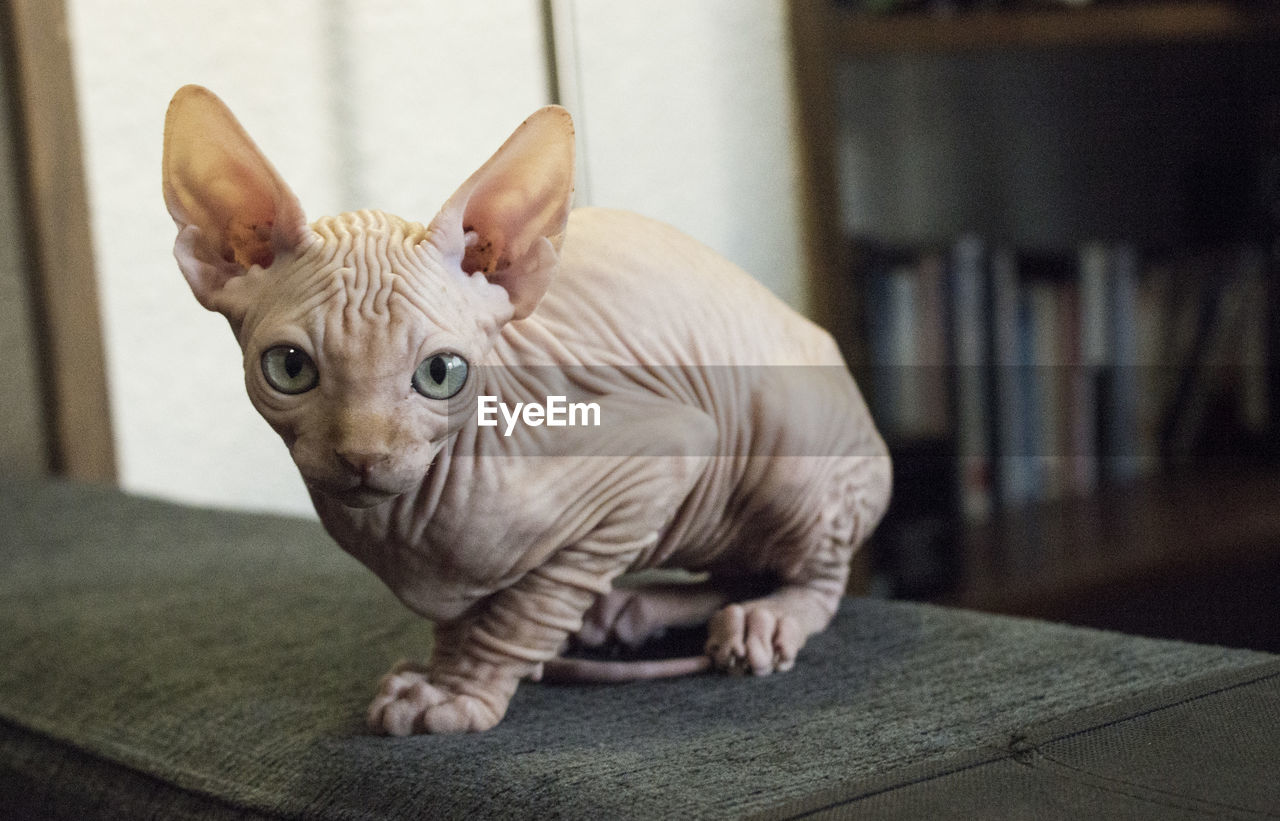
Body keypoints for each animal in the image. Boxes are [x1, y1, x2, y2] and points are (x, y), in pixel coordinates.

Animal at [160, 86, 890, 732]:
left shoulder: (665, 451)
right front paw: (442, 669)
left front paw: (459, 691)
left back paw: (768, 618)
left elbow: (528, 607)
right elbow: (464, 614)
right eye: (290, 368)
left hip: (788, 456)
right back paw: (630, 609)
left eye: (441, 373)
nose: (364, 455)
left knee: (816, 574)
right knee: (739, 569)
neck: (400, 524)